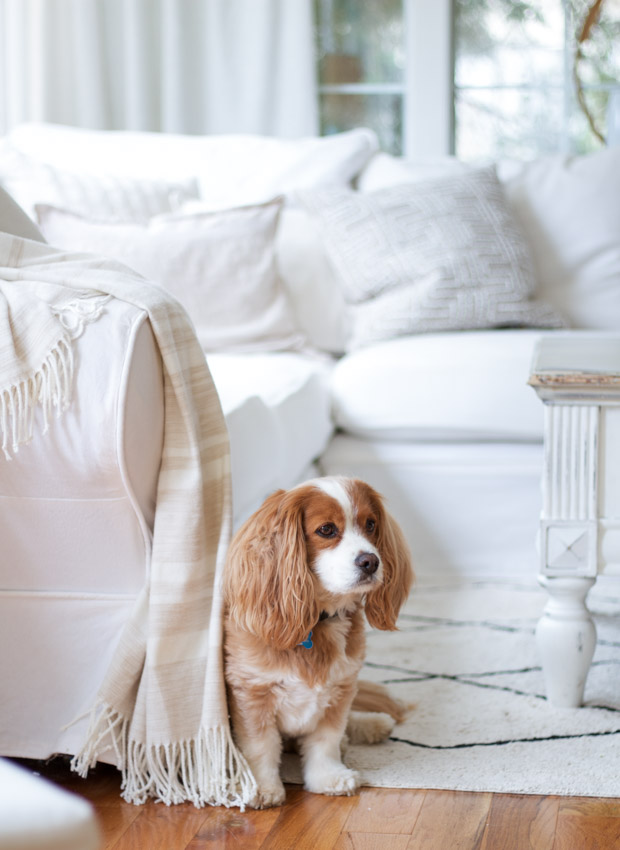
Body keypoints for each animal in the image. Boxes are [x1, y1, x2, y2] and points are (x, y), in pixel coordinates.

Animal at [223, 474, 412, 804]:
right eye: (326, 530)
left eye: (371, 524)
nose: (371, 561)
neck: (319, 620)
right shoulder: (252, 694)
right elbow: (260, 747)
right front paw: (262, 787)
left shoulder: (341, 688)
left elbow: (327, 740)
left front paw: (328, 777)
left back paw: (372, 724)